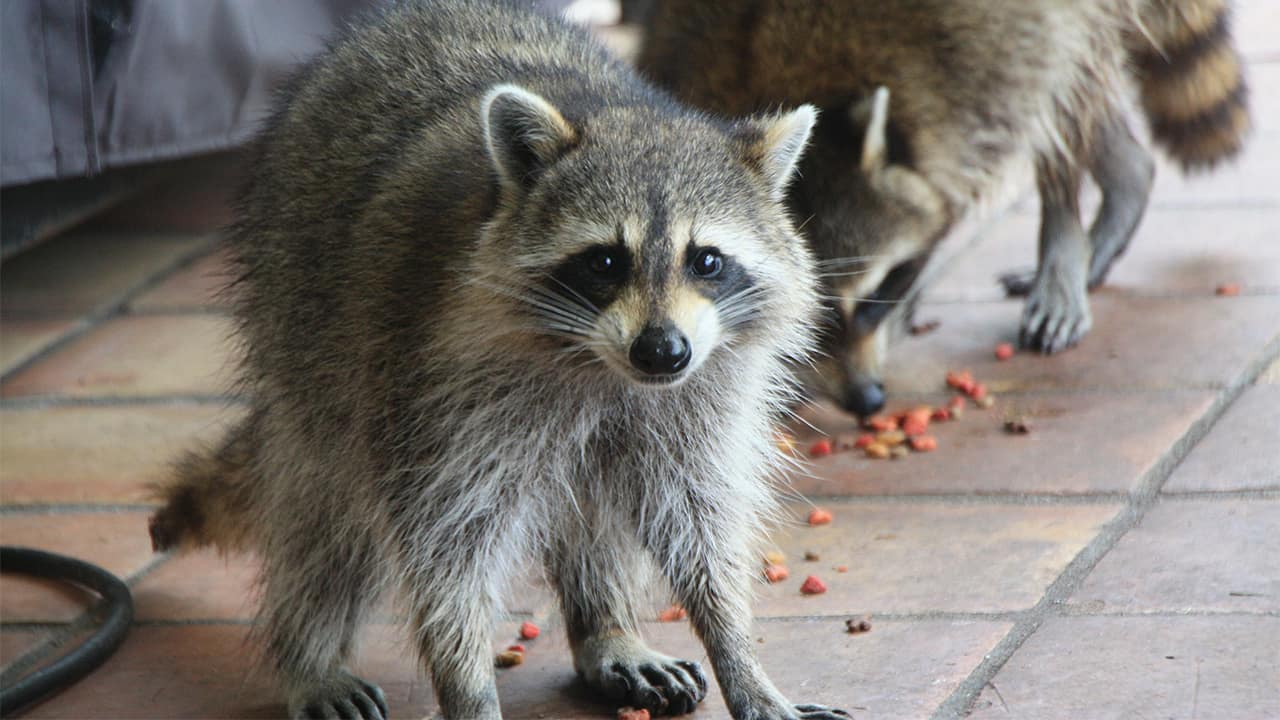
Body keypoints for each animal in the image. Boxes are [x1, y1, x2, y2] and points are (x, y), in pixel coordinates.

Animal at [146, 1, 849, 719]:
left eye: (706, 260)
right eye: (605, 262)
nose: (661, 351)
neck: (601, 367)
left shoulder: (698, 394)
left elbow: (696, 517)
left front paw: (738, 655)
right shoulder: (429, 383)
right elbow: (445, 541)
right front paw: (466, 685)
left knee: (595, 501)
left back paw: (606, 627)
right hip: (302, 328)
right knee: (322, 509)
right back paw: (311, 654)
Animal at [640, 0, 1250, 416]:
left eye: (876, 293)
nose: (868, 400)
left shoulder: (984, 48)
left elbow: (1047, 88)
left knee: (1067, 88)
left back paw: (1068, 243)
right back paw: (1125, 177)